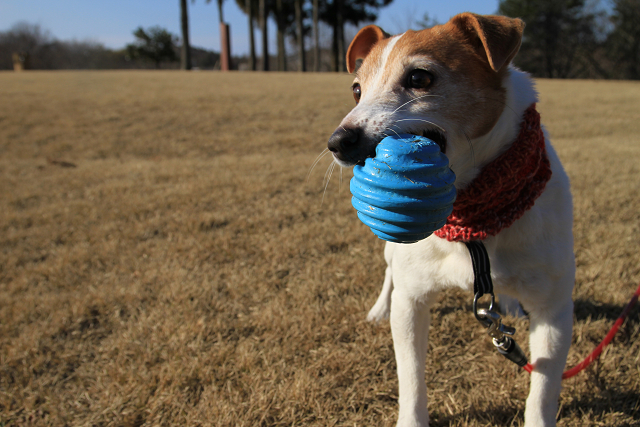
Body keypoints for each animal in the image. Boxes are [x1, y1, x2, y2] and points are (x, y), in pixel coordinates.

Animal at [324, 11, 576, 426]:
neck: (469, 218)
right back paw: (378, 309)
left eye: (419, 78)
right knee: (389, 273)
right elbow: (411, 377)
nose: (338, 142)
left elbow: (543, 389)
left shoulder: (553, 309)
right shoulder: (411, 301)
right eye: (357, 90)